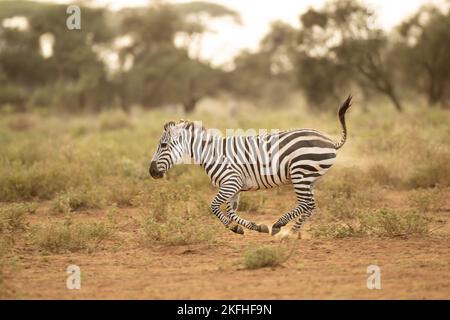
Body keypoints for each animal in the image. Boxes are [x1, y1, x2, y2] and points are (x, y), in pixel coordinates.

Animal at [149, 95, 352, 238]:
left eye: (164, 145)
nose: (151, 172)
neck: (211, 153)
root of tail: (330, 142)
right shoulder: (234, 186)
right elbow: (231, 211)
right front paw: (252, 227)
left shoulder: (230, 182)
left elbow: (214, 206)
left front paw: (235, 228)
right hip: (311, 178)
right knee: (310, 206)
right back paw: (291, 232)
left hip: (300, 173)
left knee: (306, 203)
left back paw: (281, 228)